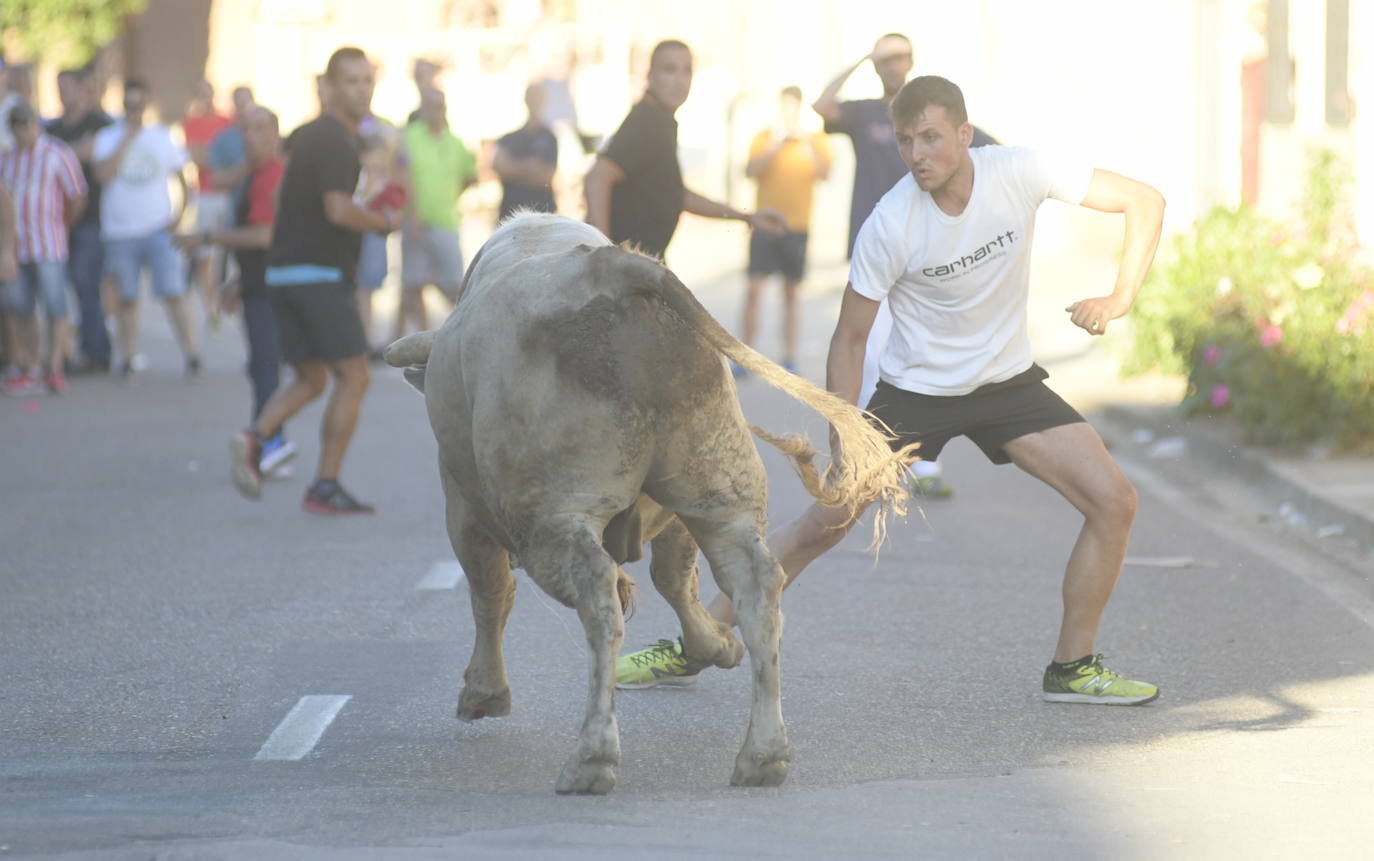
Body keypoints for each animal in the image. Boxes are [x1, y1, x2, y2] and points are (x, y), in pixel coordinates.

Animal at [387, 215, 917, 796]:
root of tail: (615, 269)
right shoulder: (673, 512)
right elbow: (674, 578)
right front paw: (714, 647)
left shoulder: (463, 510)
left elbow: (490, 594)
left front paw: (483, 693)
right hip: (715, 490)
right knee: (754, 586)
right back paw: (762, 753)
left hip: (550, 519)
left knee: (597, 600)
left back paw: (592, 758)